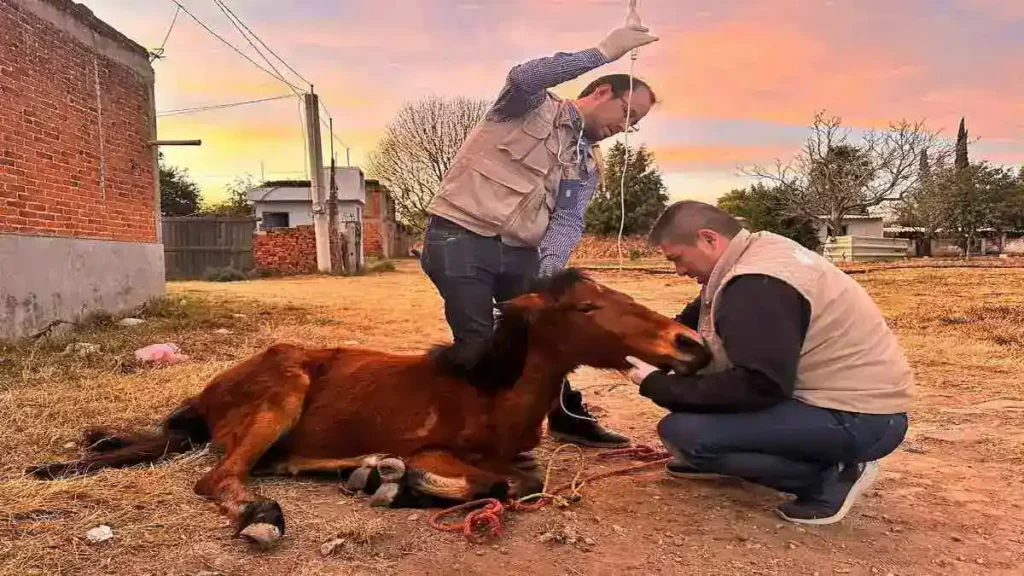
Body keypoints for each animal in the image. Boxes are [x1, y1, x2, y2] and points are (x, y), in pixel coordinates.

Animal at [28, 268, 708, 545]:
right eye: (587, 308)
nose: (691, 344)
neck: (490, 393)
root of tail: (208, 392)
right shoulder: (437, 447)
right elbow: (501, 482)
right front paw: (413, 484)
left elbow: (527, 476)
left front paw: (394, 482)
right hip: (282, 393)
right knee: (221, 477)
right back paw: (268, 514)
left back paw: (367, 473)